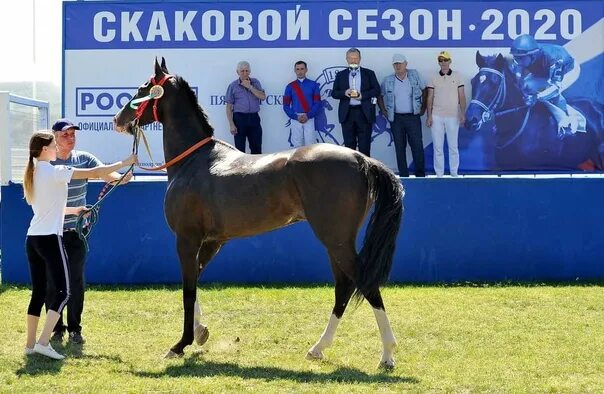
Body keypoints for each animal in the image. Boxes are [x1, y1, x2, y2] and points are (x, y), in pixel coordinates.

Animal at [114, 58, 406, 370]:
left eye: (143, 88)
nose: (118, 119)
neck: (194, 162)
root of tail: (361, 158)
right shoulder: (213, 241)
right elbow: (194, 279)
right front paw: (200, 332)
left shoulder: (187, 239)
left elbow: (188, 291)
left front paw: (180, 344)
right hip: (337, 241)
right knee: (344, 286)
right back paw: (318, 348)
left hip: (335, 239)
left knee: (363, 283)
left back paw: (387, 354)